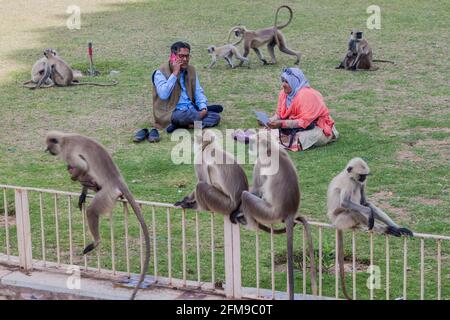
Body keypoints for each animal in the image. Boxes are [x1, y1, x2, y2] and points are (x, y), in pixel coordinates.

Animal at [46, 131, 151, 300]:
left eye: (50, 147)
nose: (48, 151)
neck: (65, 139)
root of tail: (117, 180)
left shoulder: (68, 152)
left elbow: (82, 166)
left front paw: (74, 177)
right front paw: (82, 192)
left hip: (107, 194)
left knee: (91, 210)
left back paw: (96, 241)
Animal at [230, 131, 318, 300]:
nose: (249, 143)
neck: (273, 151)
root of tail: (289, 211)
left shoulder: (260, 163)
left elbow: (256, 189)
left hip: (268, 212)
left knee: (246, 196)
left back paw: (249, 223)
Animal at [326, 158, 414, 300]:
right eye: (361, 175)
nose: (363, 179)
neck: (349, 175)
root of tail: (335, 223)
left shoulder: (359, 183)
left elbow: (365, 202)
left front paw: (398, 227)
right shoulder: (349, 181)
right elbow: (346, 203)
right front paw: (369, 213)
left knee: (365, 204)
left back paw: (393, 228)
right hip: (341, 219)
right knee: (352, 209)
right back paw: (384, 228)